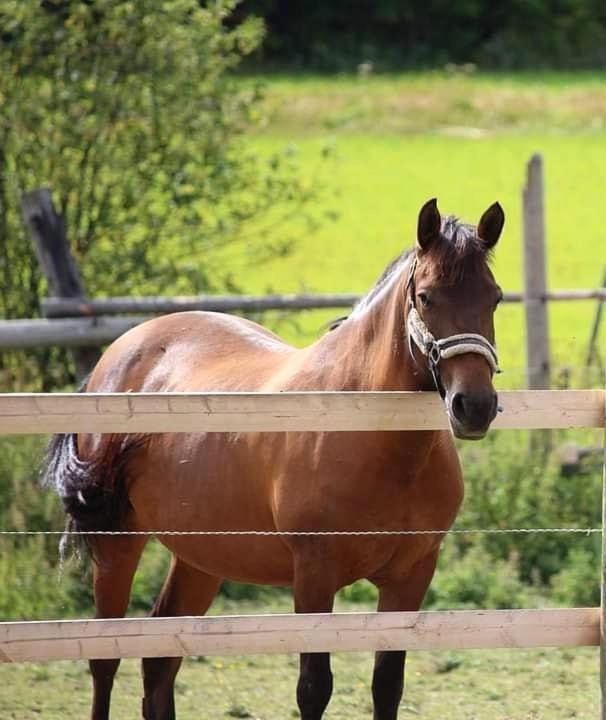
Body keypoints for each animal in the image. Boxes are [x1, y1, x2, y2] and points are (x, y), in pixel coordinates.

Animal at [45, 197, 506, 720]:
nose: (474, 406)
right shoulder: (313, 575)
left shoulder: (410, 578)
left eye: (494, 297)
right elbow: (314, 688)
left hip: (202, 557)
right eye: (426, 297)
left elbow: (387, 685)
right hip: (118, 541)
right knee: (105, 659)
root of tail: (120, 351)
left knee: (160, 663)